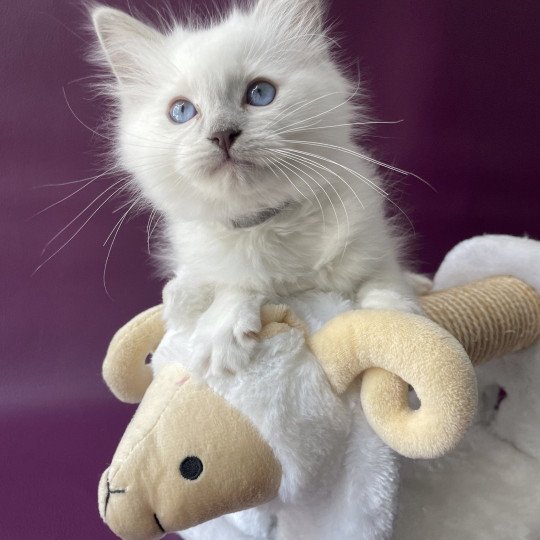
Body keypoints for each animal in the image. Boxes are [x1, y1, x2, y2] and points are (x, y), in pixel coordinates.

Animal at [92, 0, 422, 378]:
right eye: (182, 111)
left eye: (260, 93)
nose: (222, 134)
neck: (267, 224)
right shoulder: (210, 267)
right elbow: (235, 286)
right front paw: (220, 335)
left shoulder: (374, 247)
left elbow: (384, 282)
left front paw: (395, 321)